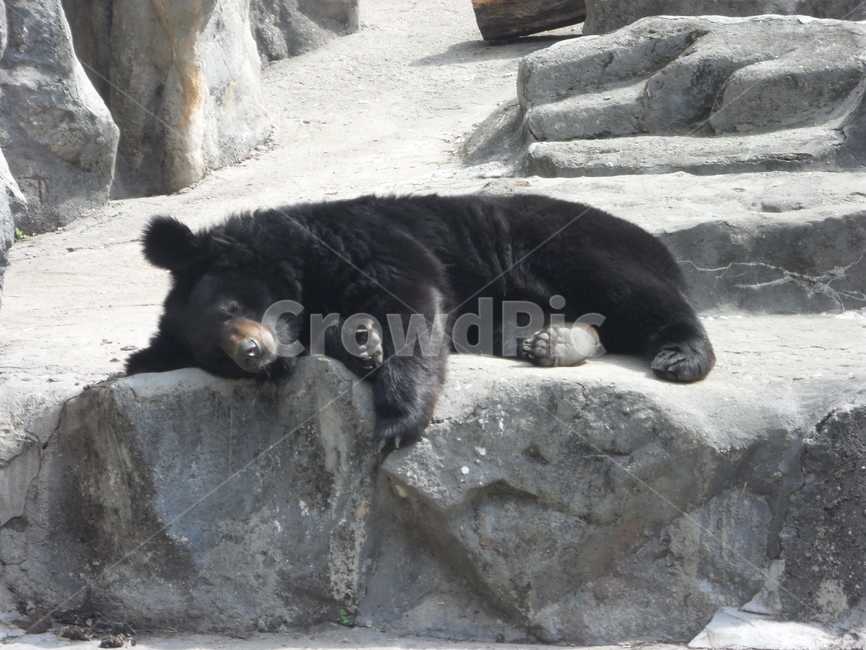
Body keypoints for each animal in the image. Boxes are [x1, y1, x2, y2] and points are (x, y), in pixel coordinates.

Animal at [126, 193, 715, 449]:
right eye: (216, 357)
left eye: (230, 308)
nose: (253, 354)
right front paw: (359, 341)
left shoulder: (360, 237)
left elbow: (409, 299)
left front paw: (394, 422)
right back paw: (553, 341)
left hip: (566, 239)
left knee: (634, 291)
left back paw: (680, 355)